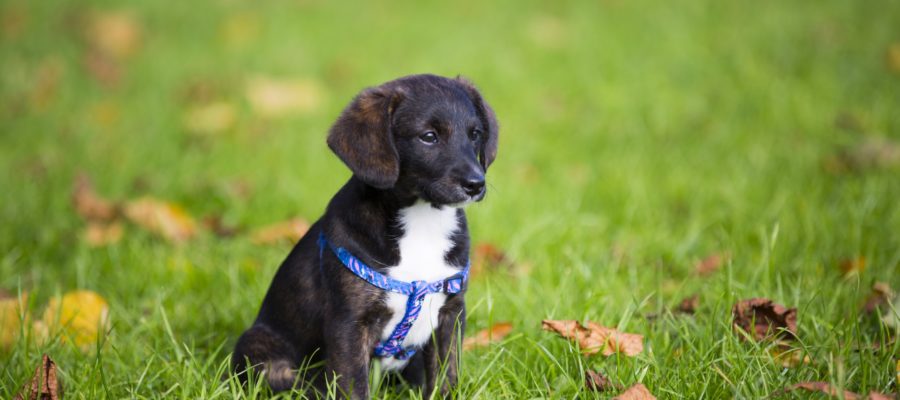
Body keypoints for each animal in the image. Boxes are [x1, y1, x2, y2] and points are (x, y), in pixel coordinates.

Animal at [232, 73, 500, 398]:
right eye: (428, 137)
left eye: (475, 134)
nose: (476, 184)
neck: (423, 220)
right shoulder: (349, 324)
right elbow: (354, 385)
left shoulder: (450, 314)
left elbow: (445, 376)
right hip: (260, 349)